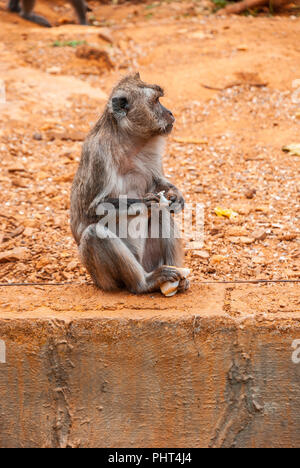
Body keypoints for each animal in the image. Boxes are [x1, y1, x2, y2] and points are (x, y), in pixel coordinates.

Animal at [69, 72, 190, 292]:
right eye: (156, 101)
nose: (170, 113)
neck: (129, 144)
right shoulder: (98, 155)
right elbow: (92, 210)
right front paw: (145, 202)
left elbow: (158, 183)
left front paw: (176, 196)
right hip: (104, 278)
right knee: (94, 233)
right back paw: (145, 283)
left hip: (150, 259)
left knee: (162, 213)